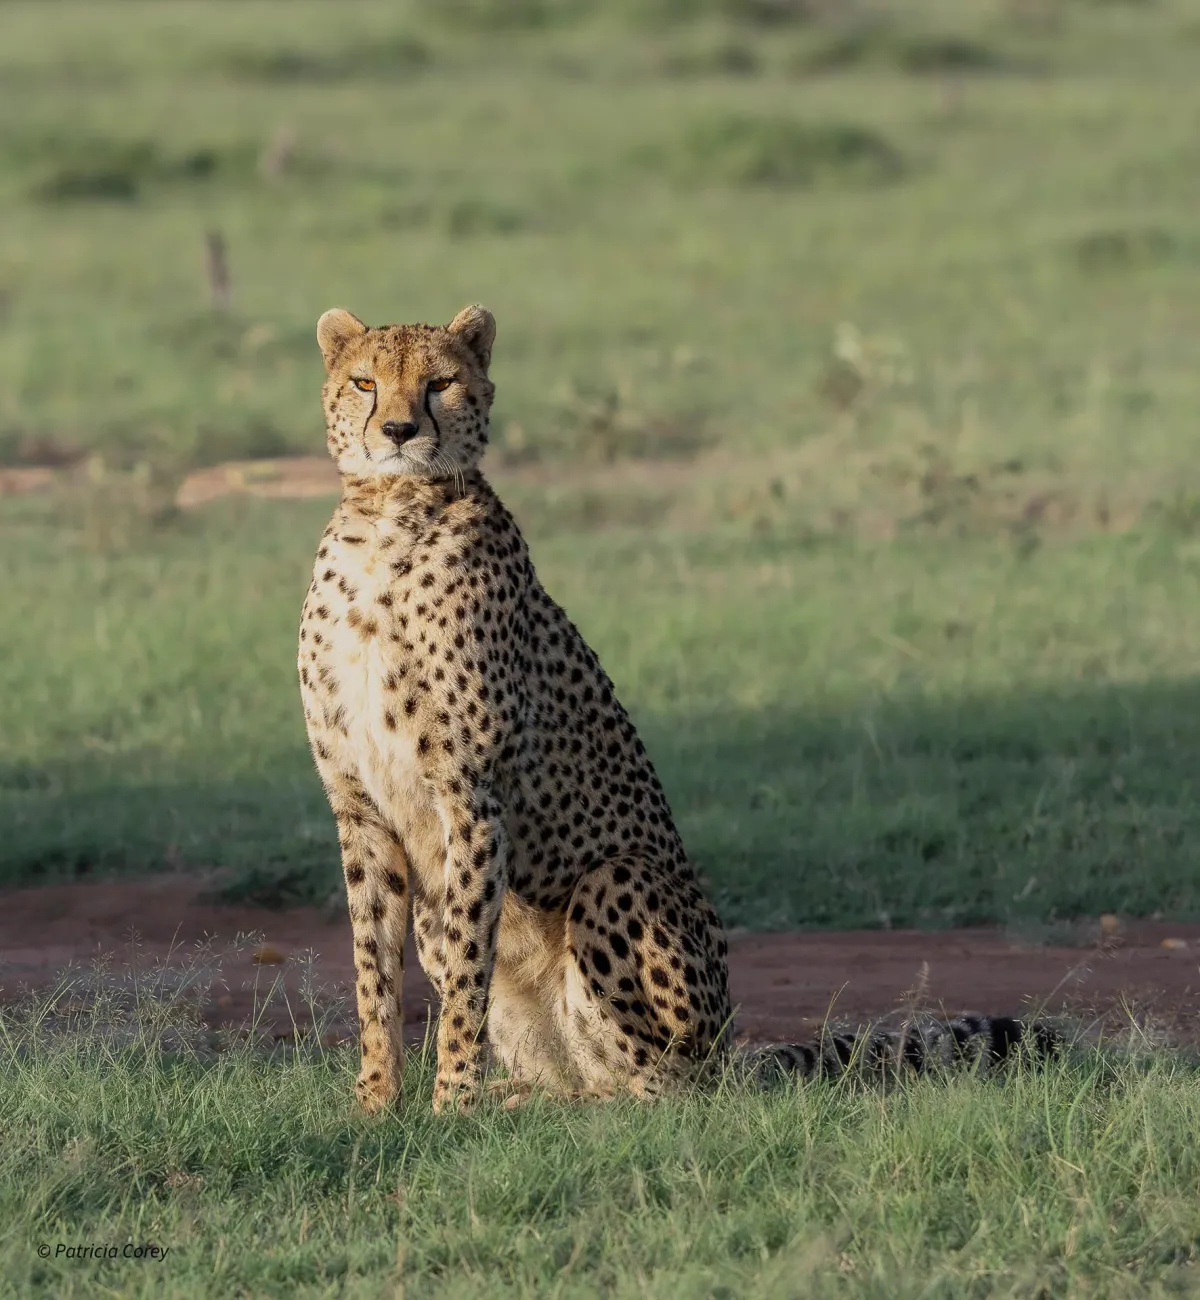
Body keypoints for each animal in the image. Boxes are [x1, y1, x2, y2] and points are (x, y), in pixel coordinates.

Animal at [298, 303, 1055, 1115]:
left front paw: (451, 1106)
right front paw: (375, 1105)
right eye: (365, 382)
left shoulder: (471, 796)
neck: (388, 518)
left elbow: (468, 973)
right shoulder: (360, 806)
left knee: (658, 1087)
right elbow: (373, 968)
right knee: (581, 1068)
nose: (398, 430)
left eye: (439, 382)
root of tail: (728, 1053)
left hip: (621, 887)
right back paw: (527, 1099)